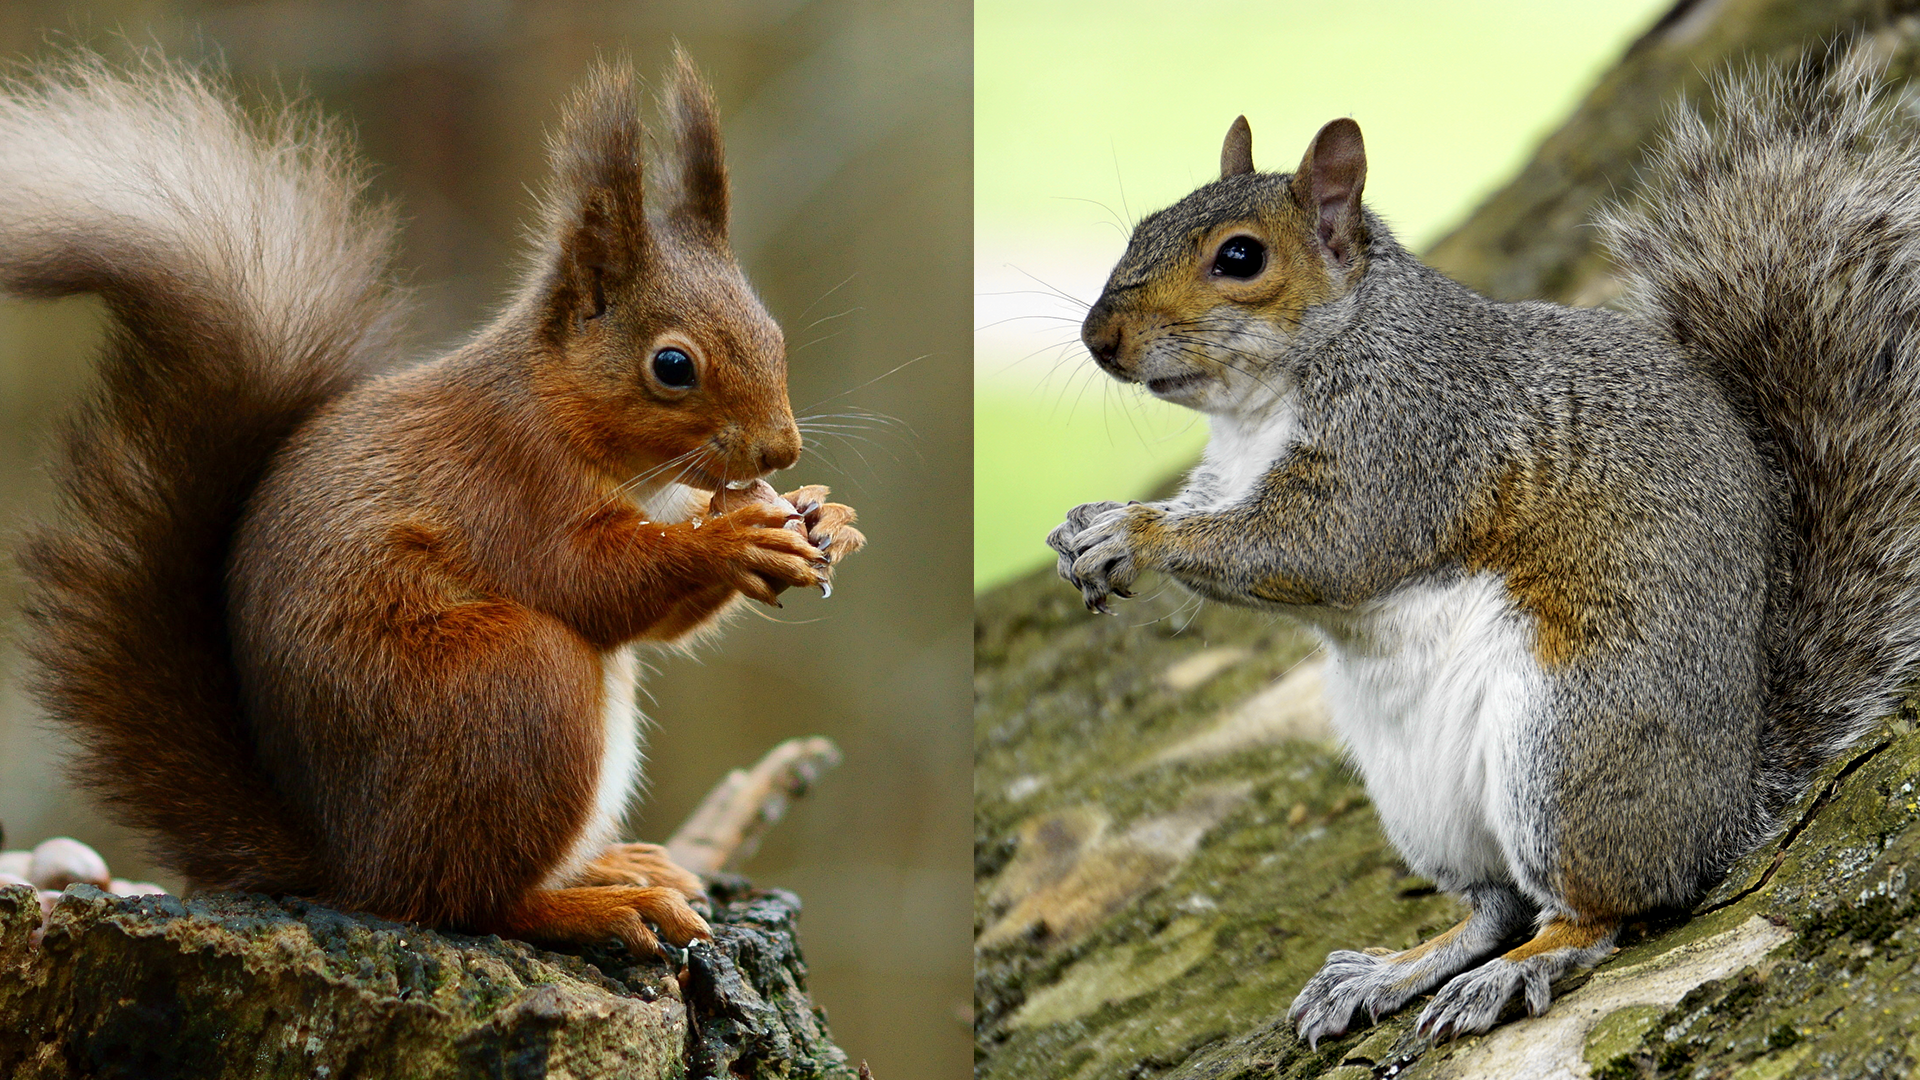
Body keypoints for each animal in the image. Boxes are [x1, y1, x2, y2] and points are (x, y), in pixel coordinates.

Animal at [1, 51, 864, 958]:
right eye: (672, 366)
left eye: (772, 333)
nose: (780, 451)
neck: (567, 417)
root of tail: (348, 861)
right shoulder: (508, 482)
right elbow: (588, 582)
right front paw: (732, 539)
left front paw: (826, 517)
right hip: (510, 686)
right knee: (462, 901)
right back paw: (599, 905)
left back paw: (613, 865)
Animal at [1046, 51, 1920, 1042]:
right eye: (1144, 226)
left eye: (1240, 257)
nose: (1098, 337)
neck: (1263, 402)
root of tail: (1725, 809)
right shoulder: (1229, 474)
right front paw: (1087, 527)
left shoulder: (1407, 443)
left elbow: (1317, 548)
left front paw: (1136, 534)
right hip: (1421, 797)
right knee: (1496, 904)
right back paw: (1393, 970)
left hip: (1567, 748)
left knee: (1600, 909)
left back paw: (1515, 970)